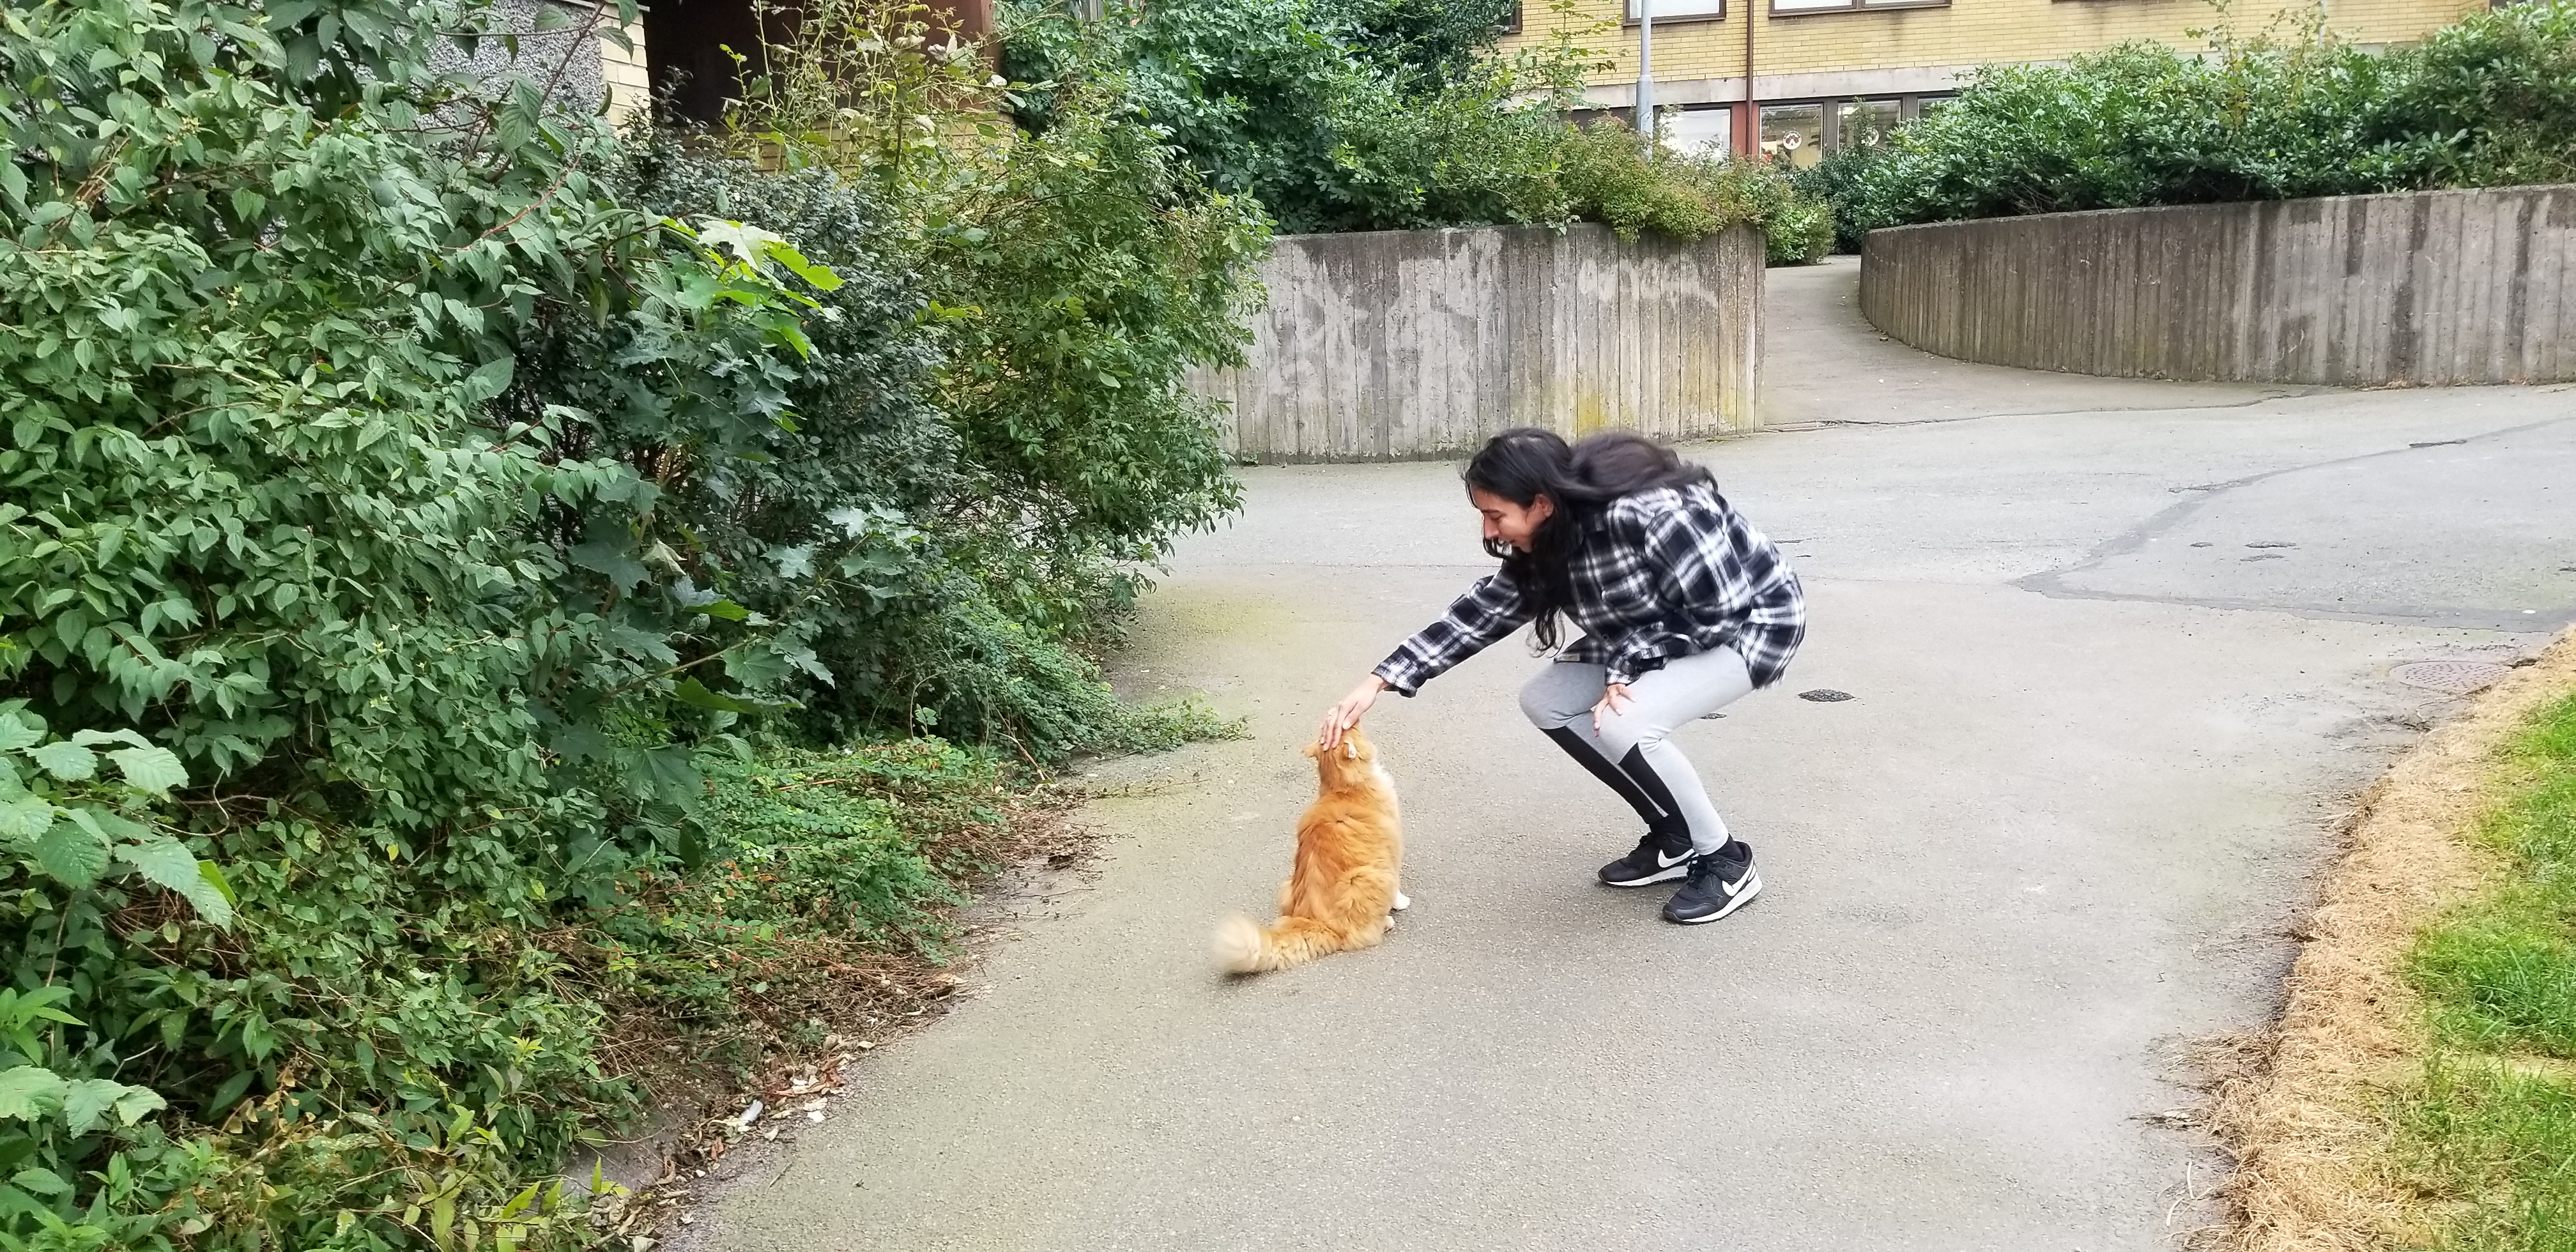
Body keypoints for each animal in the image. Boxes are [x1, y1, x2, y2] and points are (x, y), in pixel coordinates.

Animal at [1211, 721, 1411, 979]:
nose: (1354, 721)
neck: (1341, 789)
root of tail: (1315, 920)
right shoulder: (1393, 853)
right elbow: (1398, 892)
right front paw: (1402, 903)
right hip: (1368, 878)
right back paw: (1386, 922)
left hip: (1287, 886)